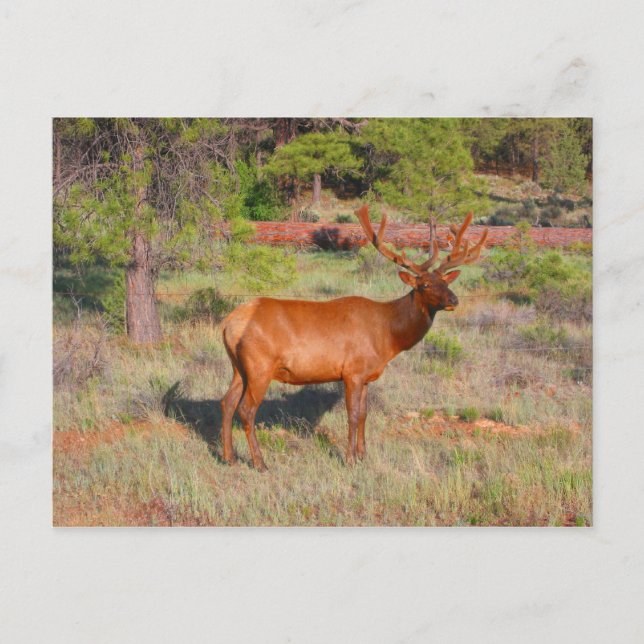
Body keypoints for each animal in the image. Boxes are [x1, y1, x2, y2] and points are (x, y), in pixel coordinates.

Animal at [220, 205, 488, 471]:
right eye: (424, 285)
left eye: (444, 281)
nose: (454, 300)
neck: (389, 337)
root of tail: (229, 323)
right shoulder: (353, 372)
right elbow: (352, 414)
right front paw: (349, 459)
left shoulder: (367, 376)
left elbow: (364, 414)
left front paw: (363, 455)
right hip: (260, 366)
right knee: (246, 409)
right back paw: (259, 462)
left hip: (239, 368)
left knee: (227, 402)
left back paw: (229, 457)